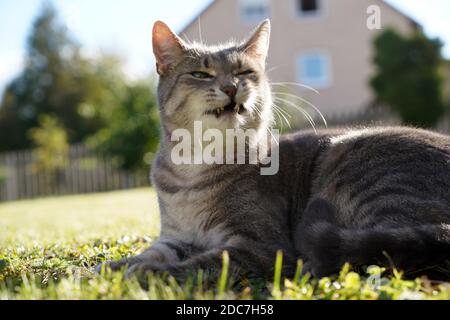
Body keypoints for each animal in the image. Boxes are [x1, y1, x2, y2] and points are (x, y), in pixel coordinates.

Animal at [97, 19, 450, 280]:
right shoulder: (176, 238)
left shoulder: (261, 245)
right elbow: (150, 252)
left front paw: (149, 272)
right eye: (200, 73)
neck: (193, 168)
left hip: (359, 169)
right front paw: (106, 268)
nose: (231, 87)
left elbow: (202, 264)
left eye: (244, 72)